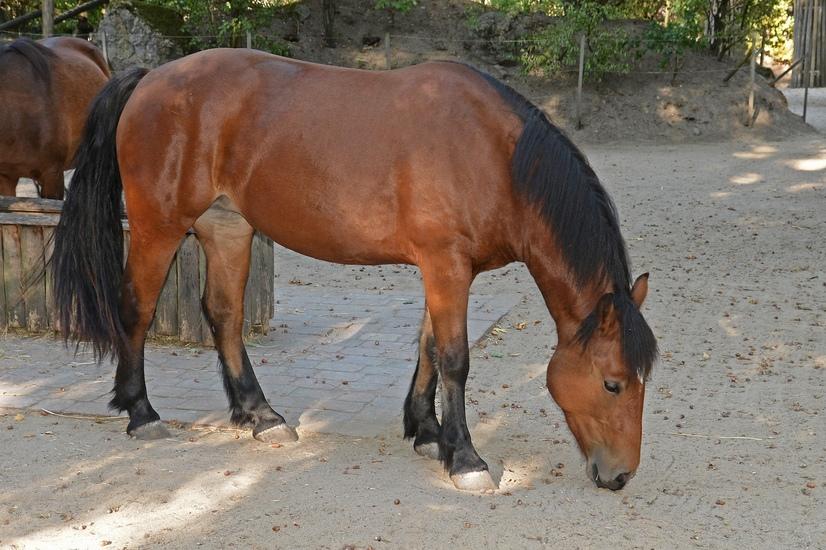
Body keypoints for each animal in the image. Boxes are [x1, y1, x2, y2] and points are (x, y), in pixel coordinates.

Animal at [51, 49, 658, 492]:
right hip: (159, 227)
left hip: (228, 229)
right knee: (136, 308)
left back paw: (260, 415)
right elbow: (455, 359)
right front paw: (464, 457)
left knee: (224, 316)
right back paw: (141, 412)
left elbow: (429, 348)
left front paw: (427, 432)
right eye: (612, 382)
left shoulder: (445, 268)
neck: (494, 155)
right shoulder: (446, 264)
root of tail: (153, 77)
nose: (620, 475)